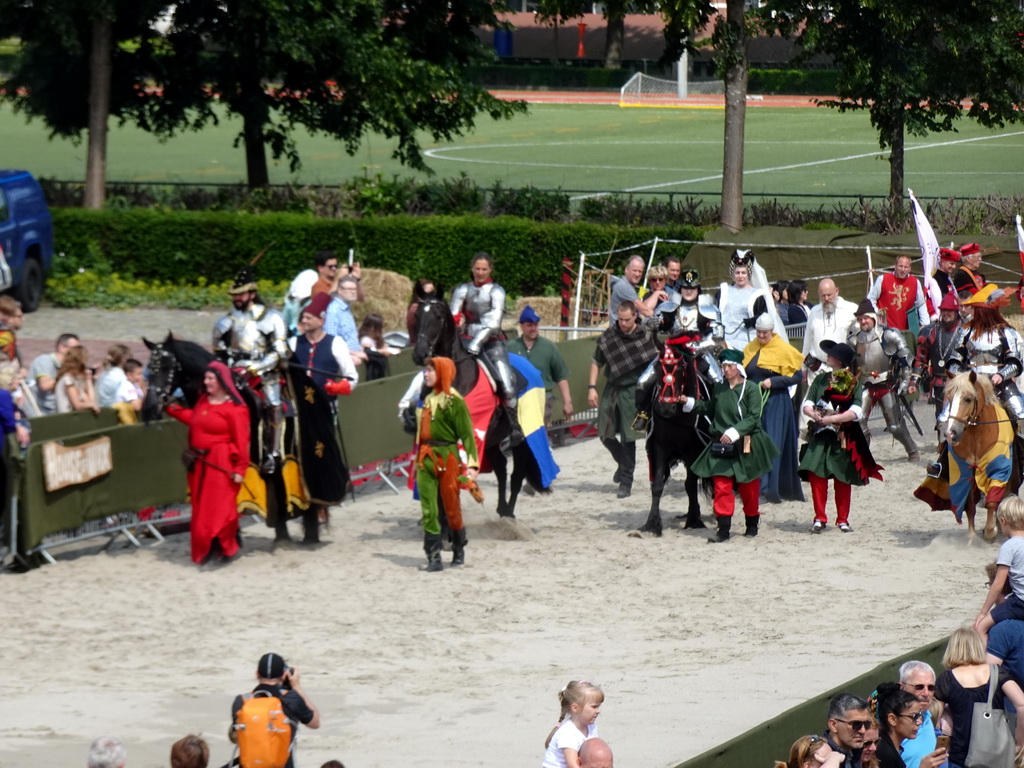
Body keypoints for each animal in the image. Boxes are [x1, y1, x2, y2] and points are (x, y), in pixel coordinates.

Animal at [929, 370, 1015, 540]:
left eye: (968, 399)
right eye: (949, 398)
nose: (951, 434)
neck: (977, 434)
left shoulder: (998, 468)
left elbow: (992, 501)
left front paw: (990, 531)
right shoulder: (965, 470)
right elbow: (969, 506)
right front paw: (972, 536)